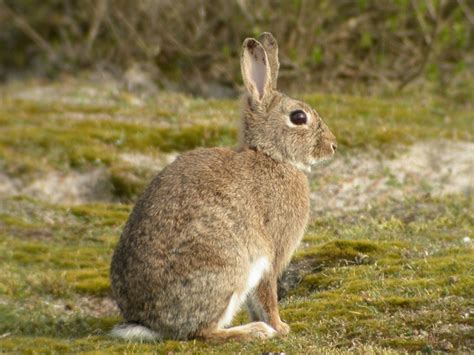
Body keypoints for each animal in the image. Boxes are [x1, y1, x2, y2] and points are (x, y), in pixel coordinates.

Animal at [109, 32, 336, 344]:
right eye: (299, 118)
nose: (333, 146)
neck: (271, 156)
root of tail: (148, 321)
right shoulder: (271, 252)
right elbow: (268, 295)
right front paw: (280, 327)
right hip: (228, 267)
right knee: (203, 332)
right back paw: (254, 332)